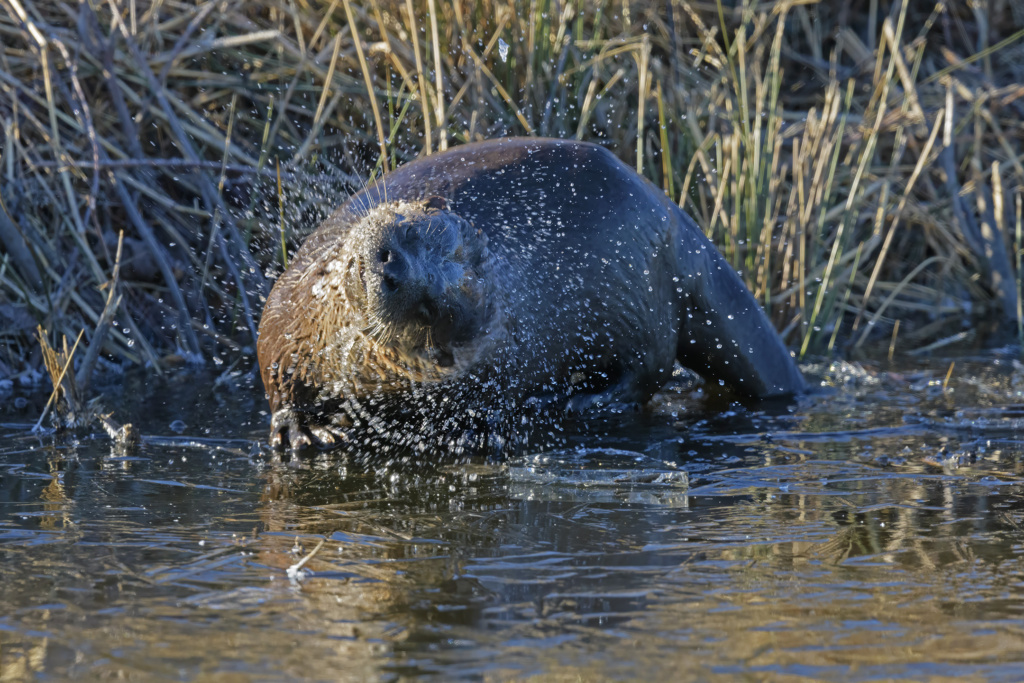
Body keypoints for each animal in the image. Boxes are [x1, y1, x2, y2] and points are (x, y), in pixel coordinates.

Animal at [258, 138, 806, 448]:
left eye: (428, 306)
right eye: (413, 232)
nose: (389, 262)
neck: (332, 347)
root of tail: (672, 219)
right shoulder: (282, 318)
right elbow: (275, 373)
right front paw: (297, 424)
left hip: (640, 294)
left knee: (651, 367)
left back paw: (581, 402)